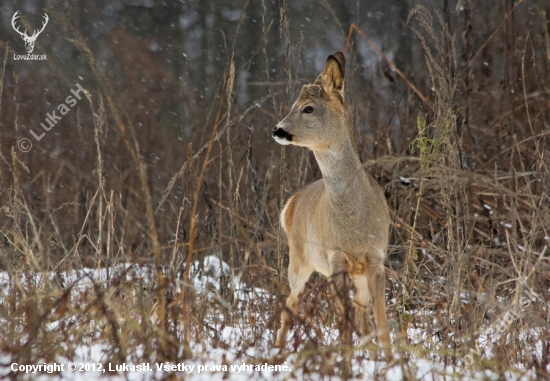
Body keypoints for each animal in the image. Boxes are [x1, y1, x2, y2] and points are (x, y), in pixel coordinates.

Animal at [272, 51, 392, 354]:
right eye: (294, 105)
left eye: (308, 108)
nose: (277, 130)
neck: (353, 222)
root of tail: (290, 204)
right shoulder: (335, 261)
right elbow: (346, 329)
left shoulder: (376, 260)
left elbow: (381, 326)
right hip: (300, 261)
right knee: (289, 308)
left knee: (361, 319)